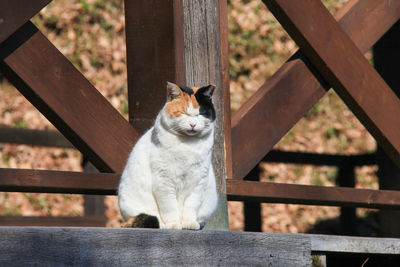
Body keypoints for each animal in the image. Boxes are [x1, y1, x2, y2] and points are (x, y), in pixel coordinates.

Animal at [118, 81, 219, 230]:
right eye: (183, 113)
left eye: (200, 114)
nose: (193, 124)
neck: (188, 145)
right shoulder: (163, 179)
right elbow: (169, 206)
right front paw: (174, 224)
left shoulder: (199, 180)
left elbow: (192, 204)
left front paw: (189, 223)